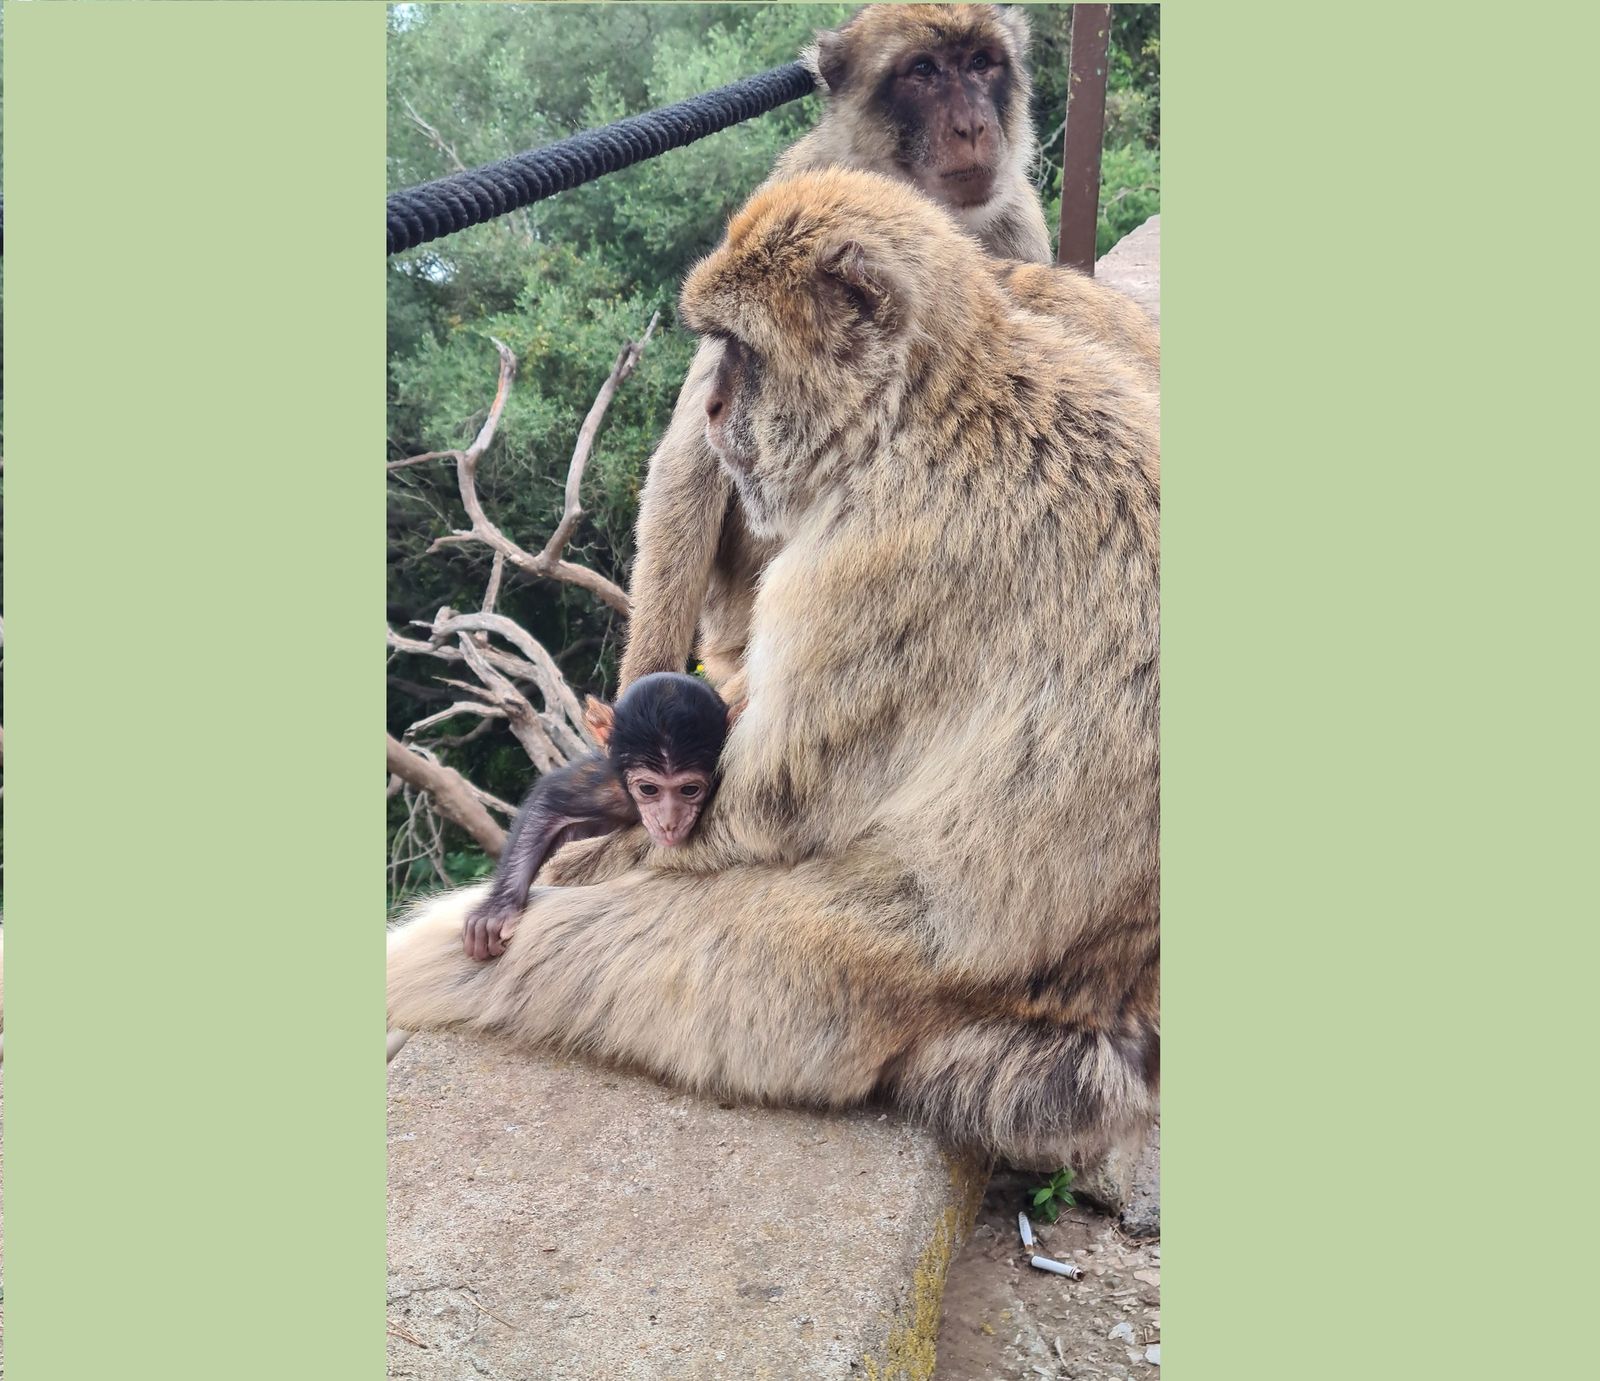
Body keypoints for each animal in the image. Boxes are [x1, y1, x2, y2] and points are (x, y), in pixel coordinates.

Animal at [461, 672, 730, 962]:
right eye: (649, 789)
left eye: (689, 790)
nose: (669, 822)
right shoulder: (607, 789)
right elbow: (549, 804)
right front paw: (498, 909)